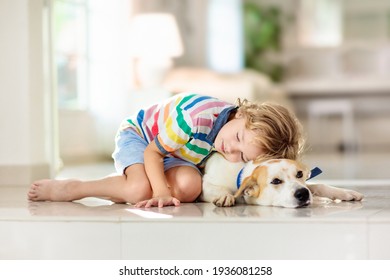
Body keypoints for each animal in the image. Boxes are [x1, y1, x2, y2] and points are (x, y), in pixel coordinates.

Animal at [200, 152, 364, 207]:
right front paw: (226, 196)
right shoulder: (206, 185)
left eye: (299, 174)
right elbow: (218, 188)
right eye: (275, 181)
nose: (303, 194)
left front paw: (344, 193)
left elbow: (318, 185)